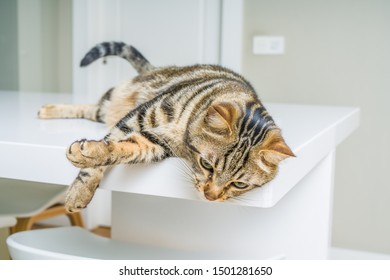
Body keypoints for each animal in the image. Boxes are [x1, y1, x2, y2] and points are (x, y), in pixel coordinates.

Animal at [38, 42, 294, 212]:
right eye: (207, 165)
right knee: (91, 107)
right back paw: (49, 109)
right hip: (112, 101)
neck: (182, 130)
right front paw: (80, 187)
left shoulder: (156, 143)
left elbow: (124, 148)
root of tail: (156, 68)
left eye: (240, 184)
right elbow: (107, 146)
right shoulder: (138, 117)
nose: (210, 196)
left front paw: (91, 157)